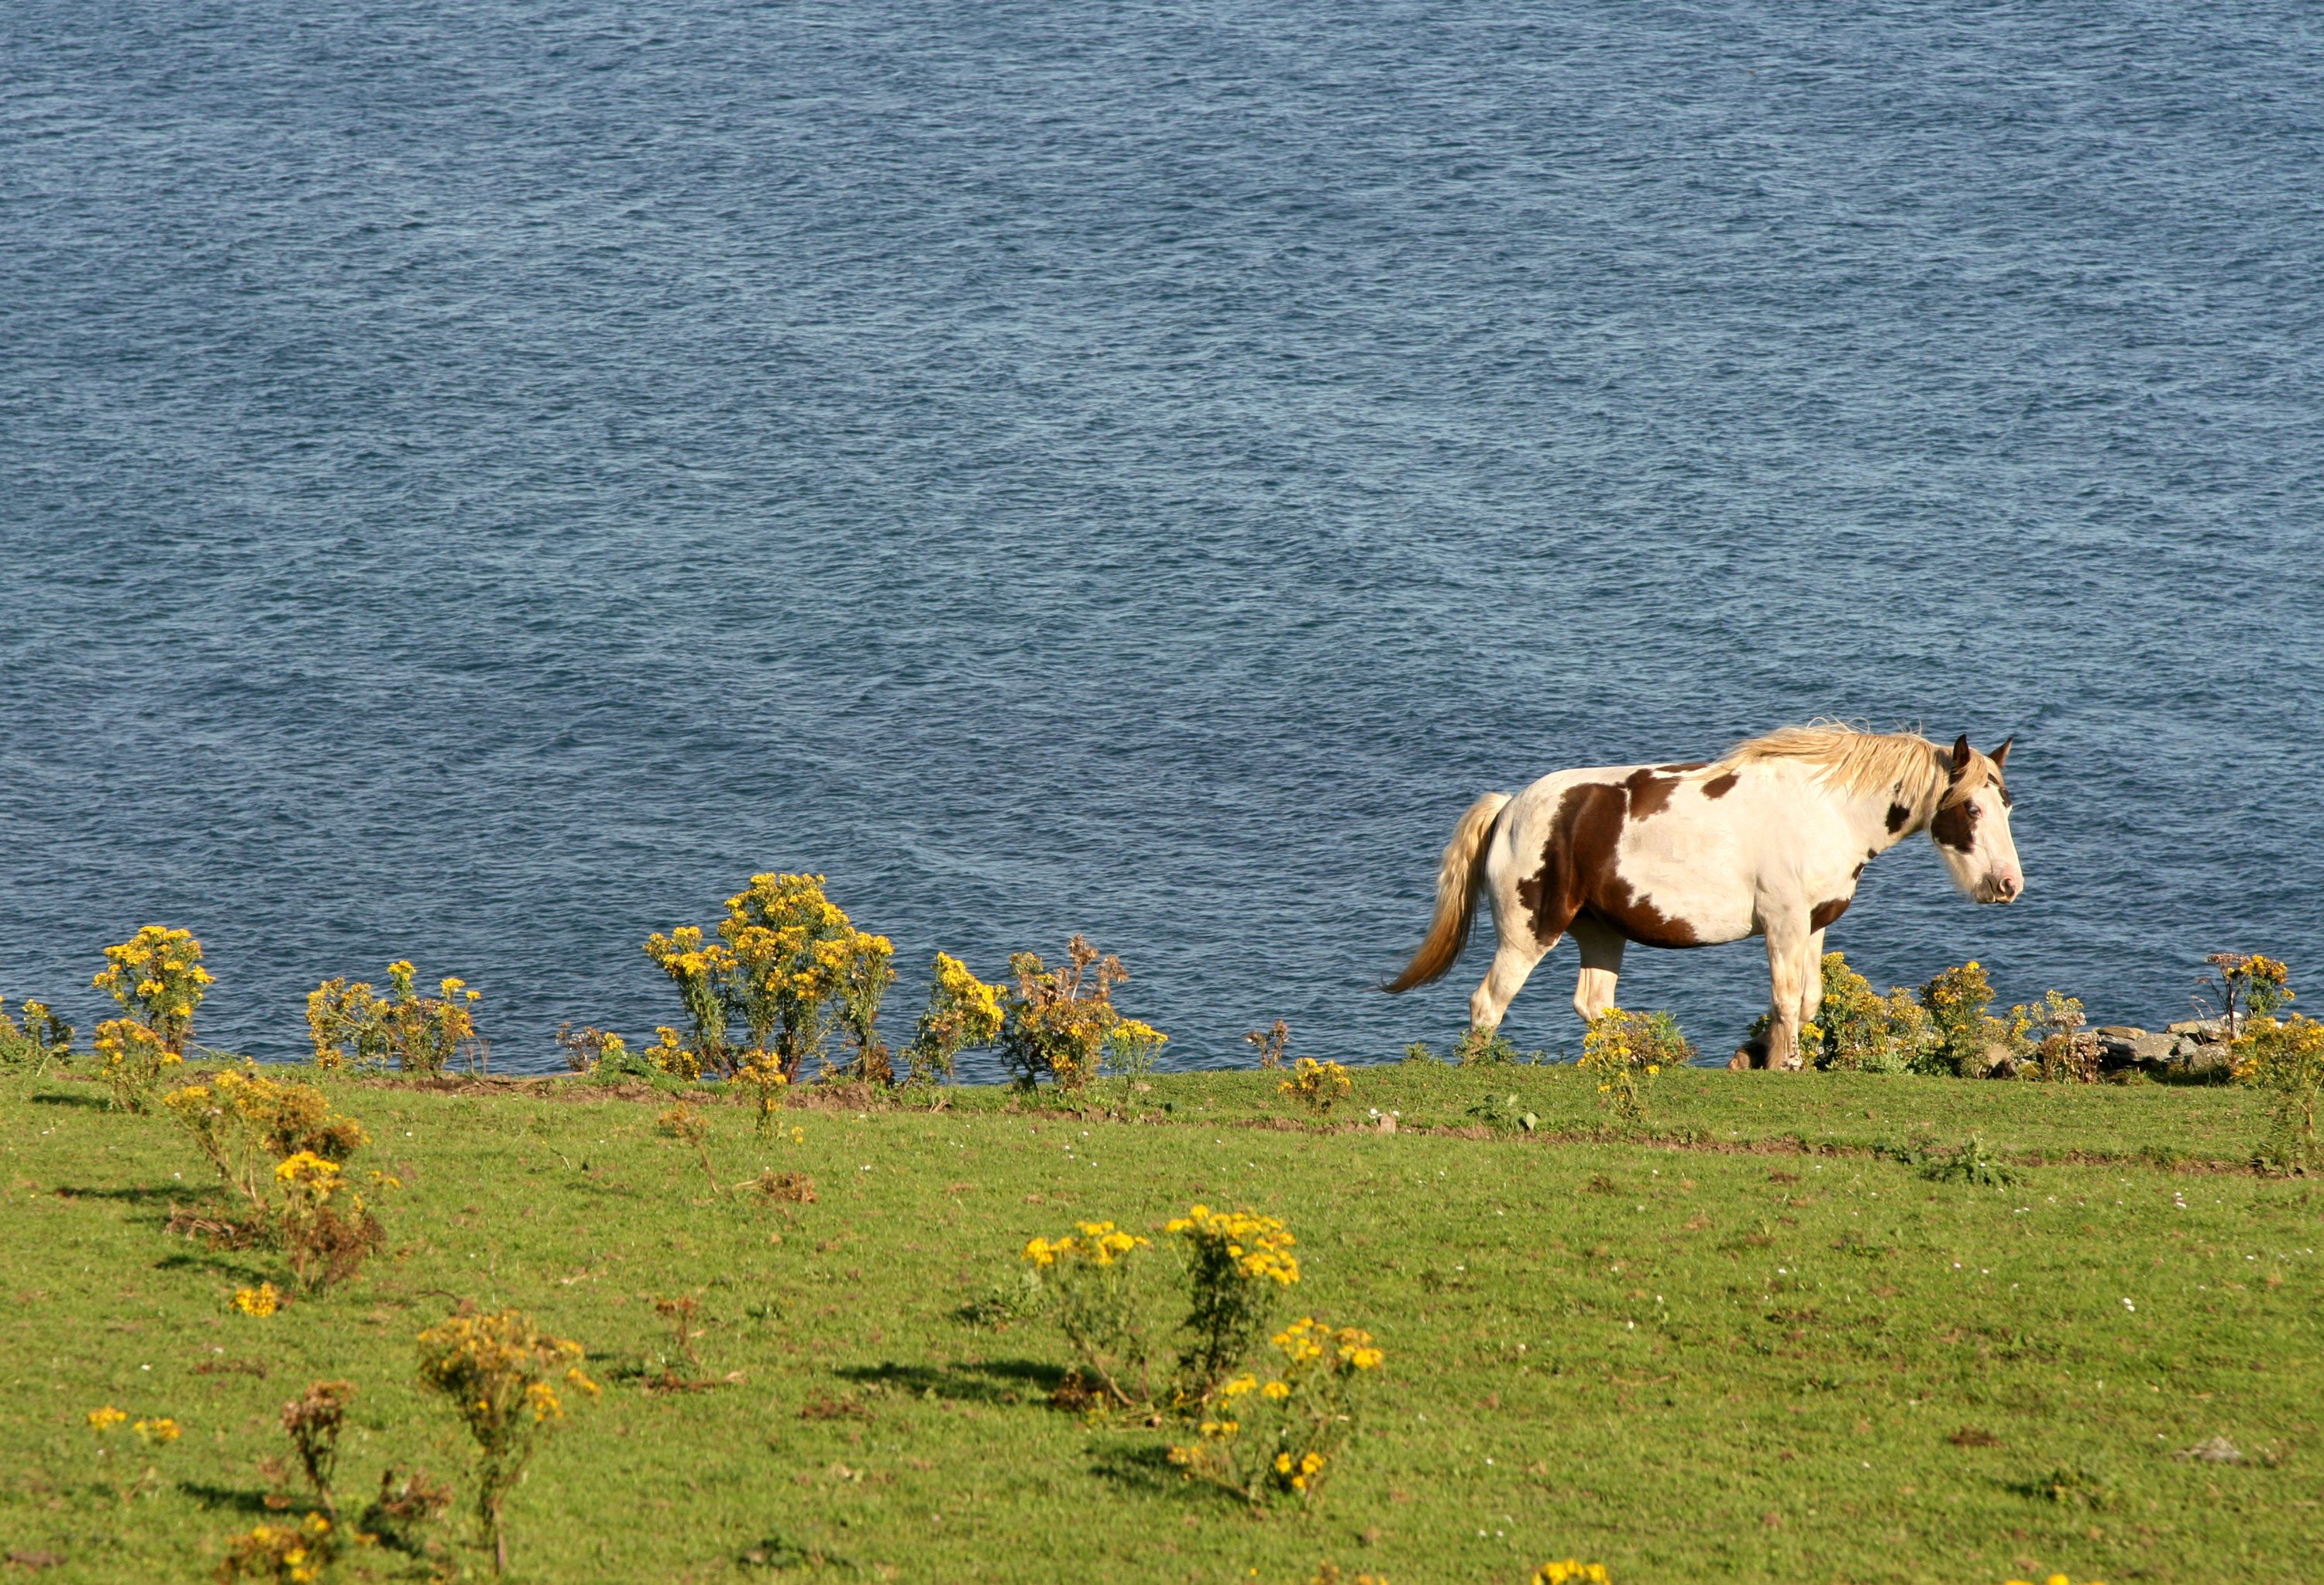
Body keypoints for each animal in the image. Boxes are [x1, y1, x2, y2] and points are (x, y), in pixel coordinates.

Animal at [1381, 724, 2024, 1070]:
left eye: (2007, 804)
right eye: (1972, 808)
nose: (2008, 885)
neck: (1827, 810)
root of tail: (1510, 808)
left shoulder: (1814, 924)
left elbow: (1807, 1002)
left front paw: (1781, 1060)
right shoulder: (1783, 923)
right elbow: (1786, 1000)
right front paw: (1783, 1065)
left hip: (1600, 930)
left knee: (1594, 1005)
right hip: (1530, 930)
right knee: (1488, 1003)